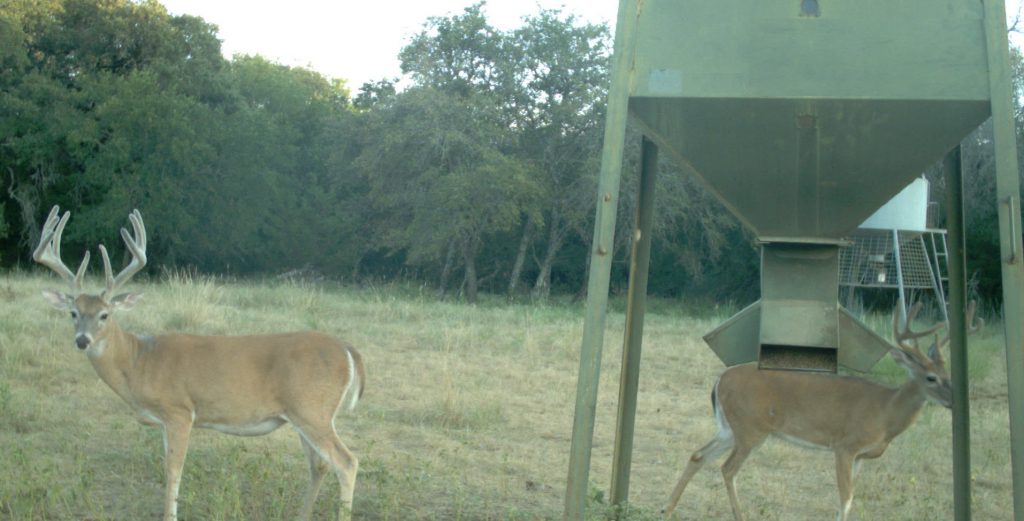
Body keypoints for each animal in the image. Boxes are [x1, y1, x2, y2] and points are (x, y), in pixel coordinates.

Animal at [33, 205, 366, 521]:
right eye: (73, 313)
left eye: (105, 314)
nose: (82, 340)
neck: (139, 361)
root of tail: (347, 349)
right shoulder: (164, 421)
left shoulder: (179, 410)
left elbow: (173, 472)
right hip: (304, 415)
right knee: (319, 465)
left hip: (311, 410)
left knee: (347, 462)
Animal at [662, 302, 982, 521]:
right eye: (931, 378)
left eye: (949, 373)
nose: (956, 400)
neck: (886, 413)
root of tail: (719, 380)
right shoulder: (845, 445)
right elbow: (845, 496)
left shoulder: (862, 456)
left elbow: (851, 495)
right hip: (751, 429)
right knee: (727, 469)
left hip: (730, 428)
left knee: (698, 455)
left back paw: (667, 509)